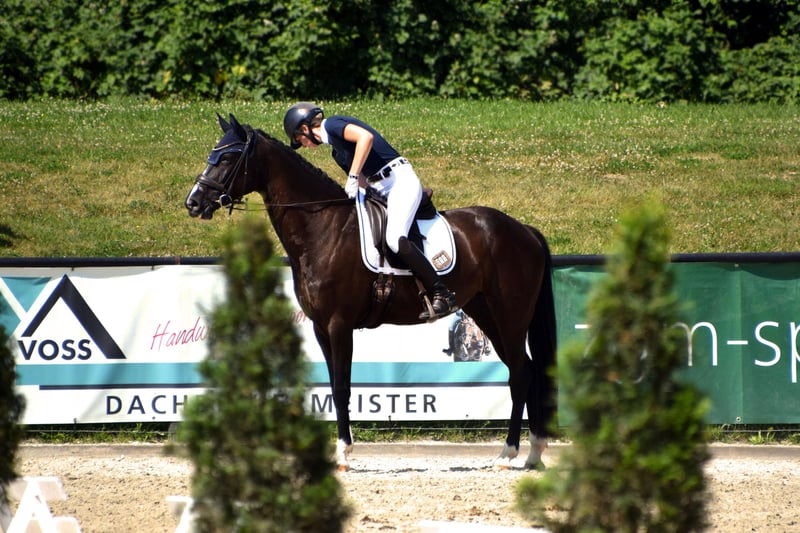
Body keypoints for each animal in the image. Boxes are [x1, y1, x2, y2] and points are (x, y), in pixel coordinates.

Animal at [184, 114, 557, 470]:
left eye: (227, 156)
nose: (194, 203)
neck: (322, 226)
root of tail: (524, 230)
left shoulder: (339, 324)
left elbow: (341, 387)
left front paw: (343, 453)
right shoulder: (320, 327)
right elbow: (334, 386)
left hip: (510, 316)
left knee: (521, 374)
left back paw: (509, 453)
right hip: (486, 313)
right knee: (525, 370)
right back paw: (532, 453)